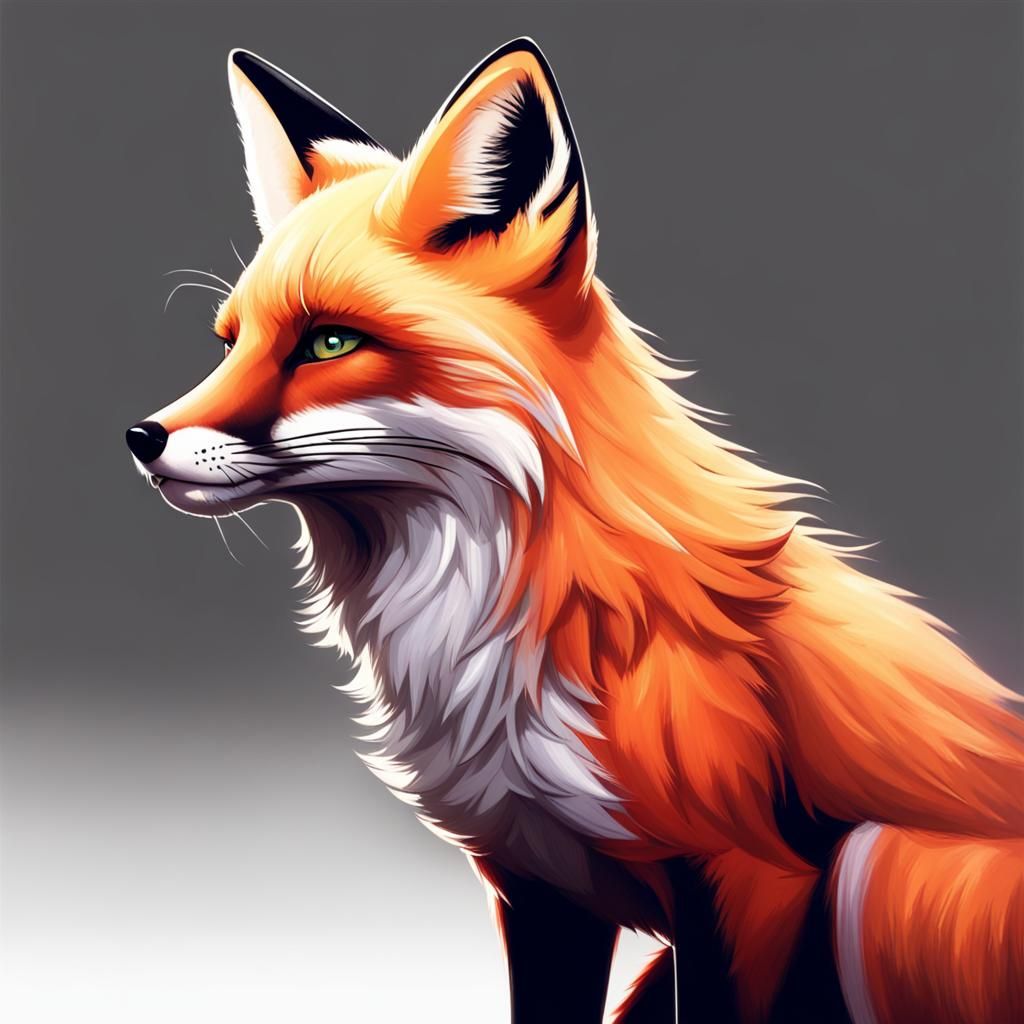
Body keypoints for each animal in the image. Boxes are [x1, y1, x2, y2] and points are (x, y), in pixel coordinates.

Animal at [125, 38, 1024, 1024]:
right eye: (230, 343)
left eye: (328, 342)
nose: (142, 438)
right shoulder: (537, 879)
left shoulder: (747, 877)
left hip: (873, 870)